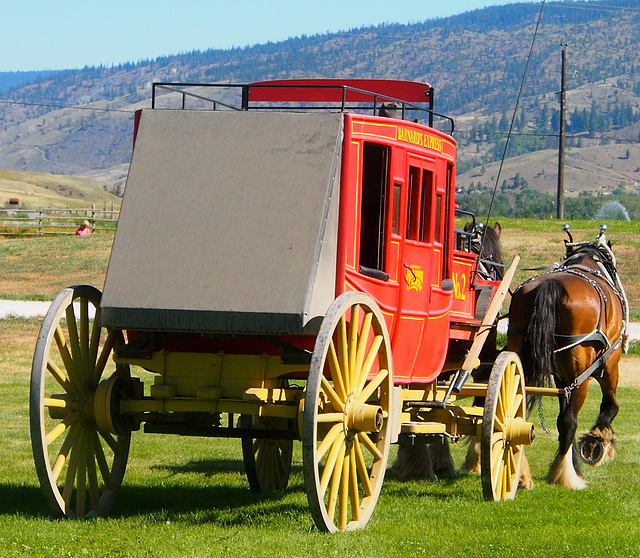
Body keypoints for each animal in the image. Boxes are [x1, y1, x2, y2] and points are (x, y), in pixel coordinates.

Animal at [508, 226, 628, 490]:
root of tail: (551, 285)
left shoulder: (561, 378)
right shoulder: (609, 363)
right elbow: (610, 406)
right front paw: (596, 442)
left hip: (521, 358)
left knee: (518, 414)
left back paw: (524, 473)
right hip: (581, 374)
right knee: (569, 421)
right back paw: (566, 475)